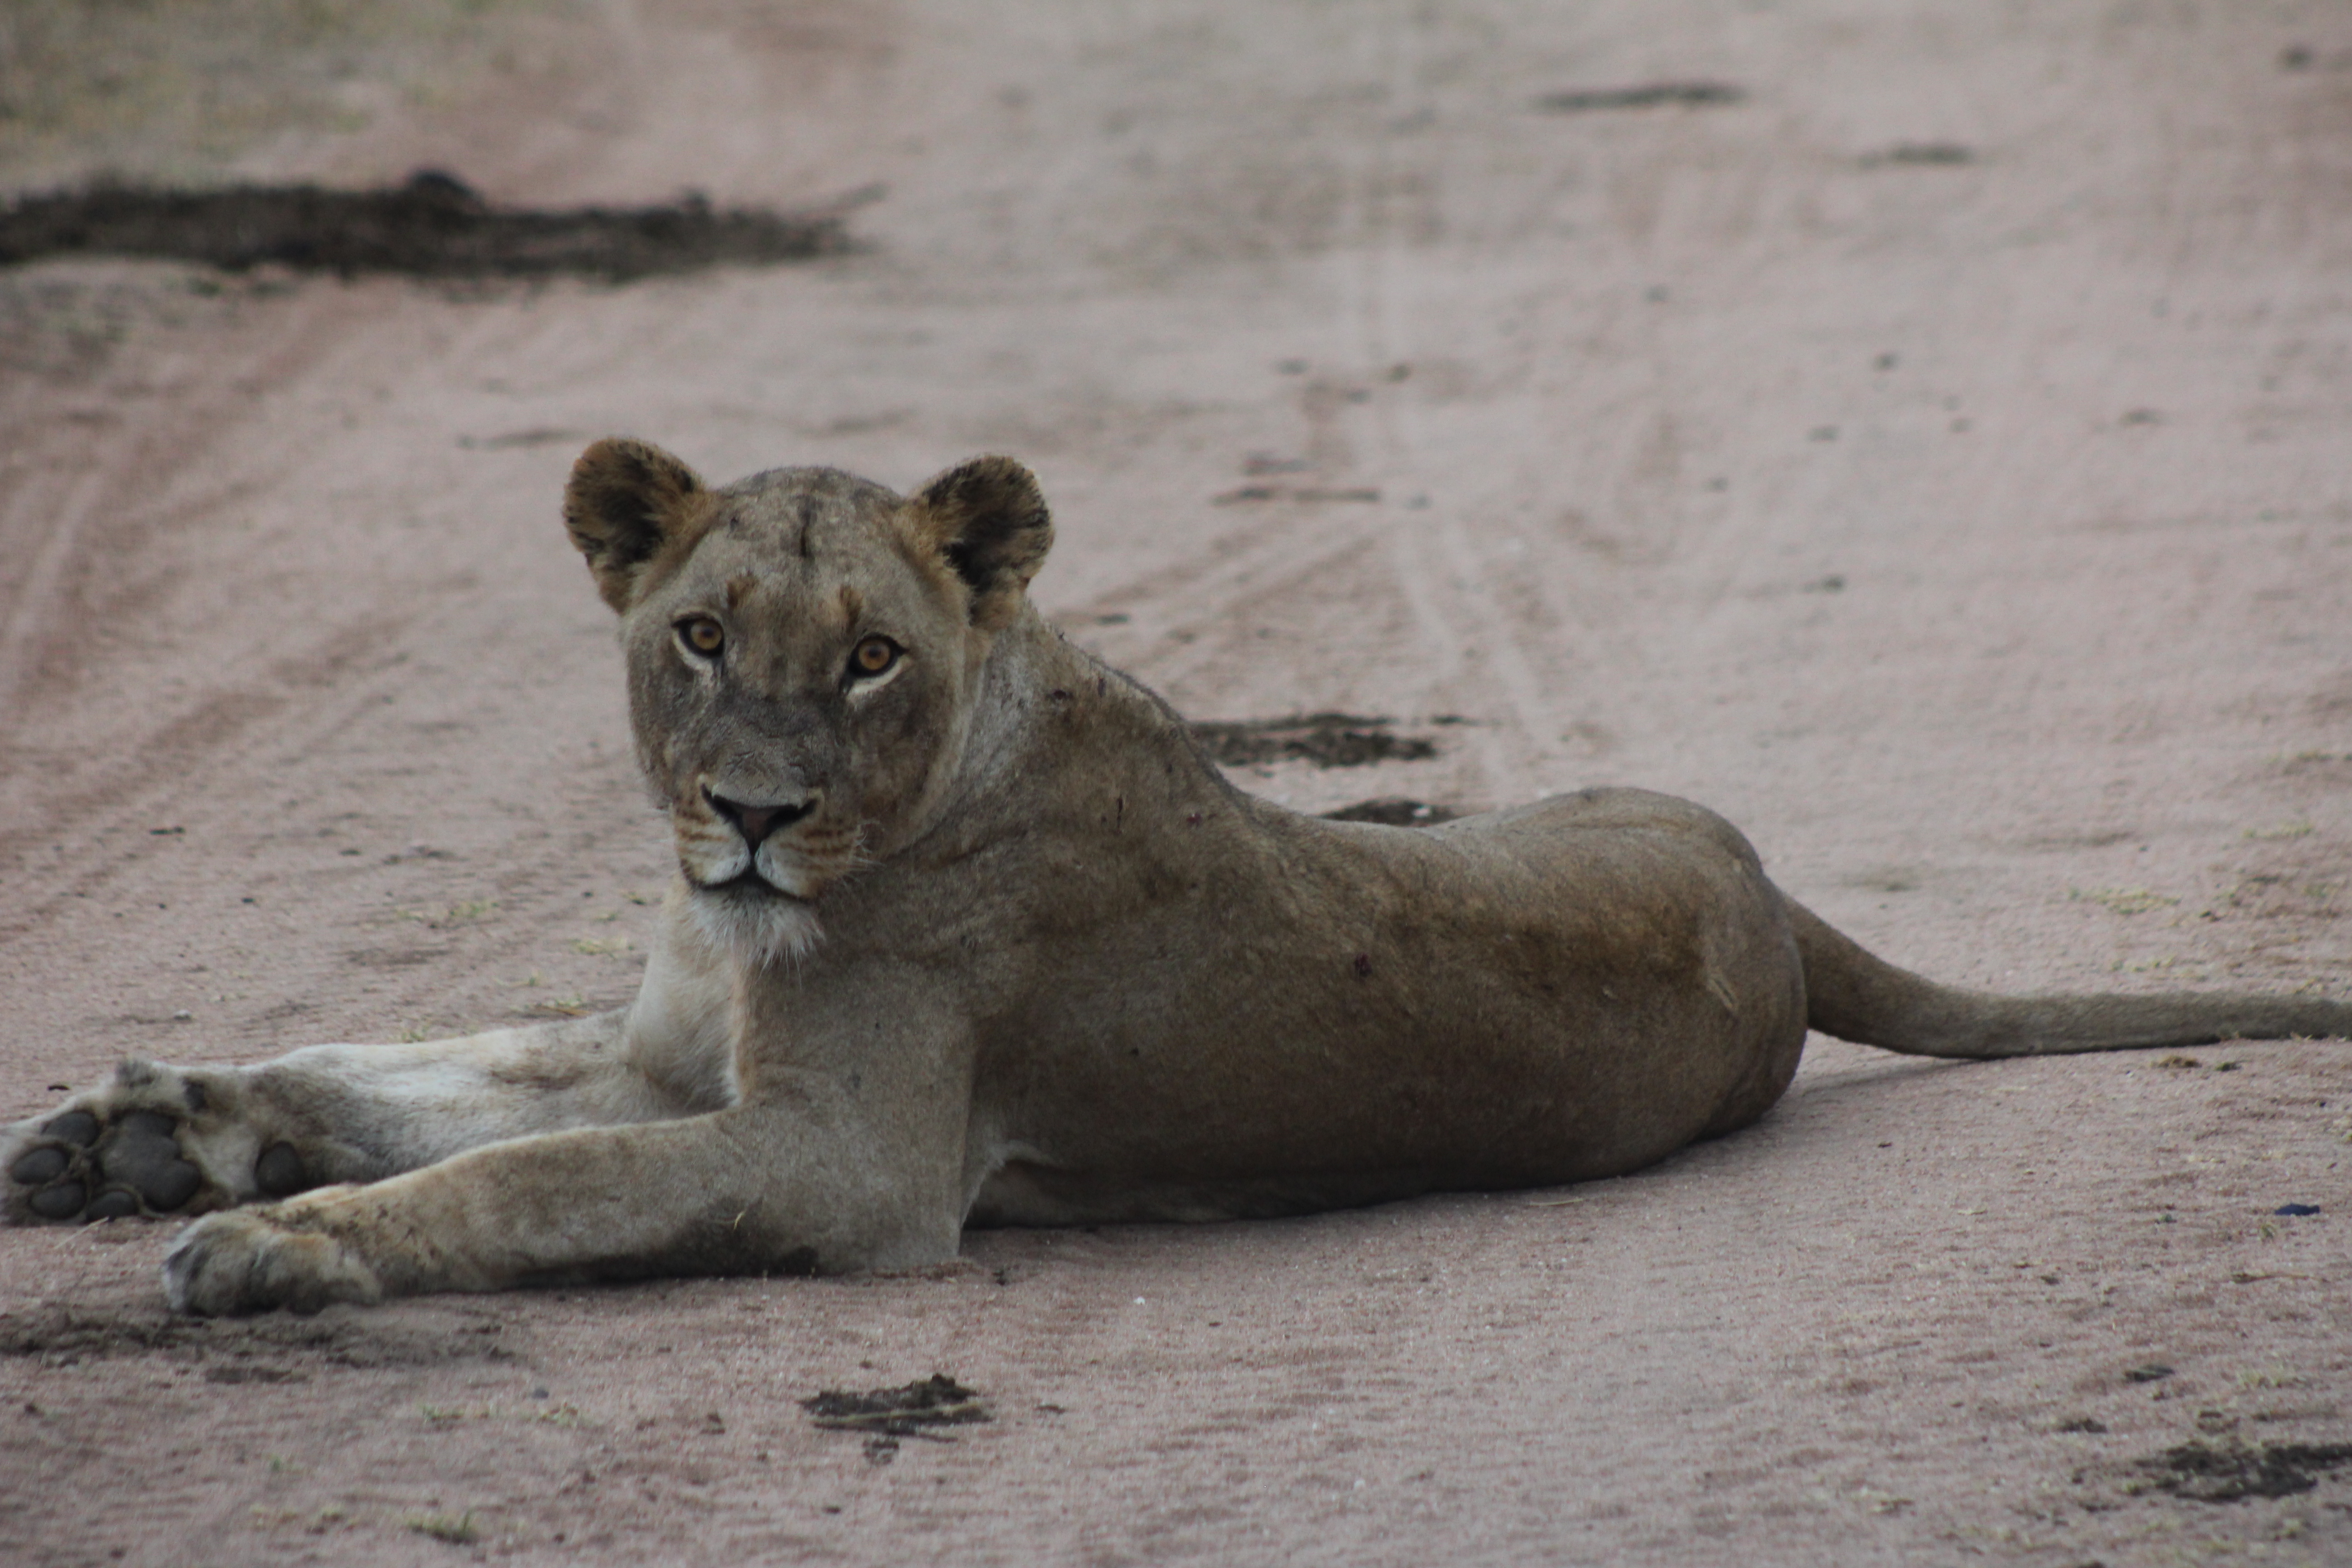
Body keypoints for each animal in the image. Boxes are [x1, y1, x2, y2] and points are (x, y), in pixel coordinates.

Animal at [4, 440, 2345, 1316]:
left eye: (868, 651)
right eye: (700, 634)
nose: (747, 813)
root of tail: (1758, 873)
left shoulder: (851, 1162)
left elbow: (520, 1178)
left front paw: (281, 1245)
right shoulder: (667, 1054)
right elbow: (401, 1066)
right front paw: (130, 1131)